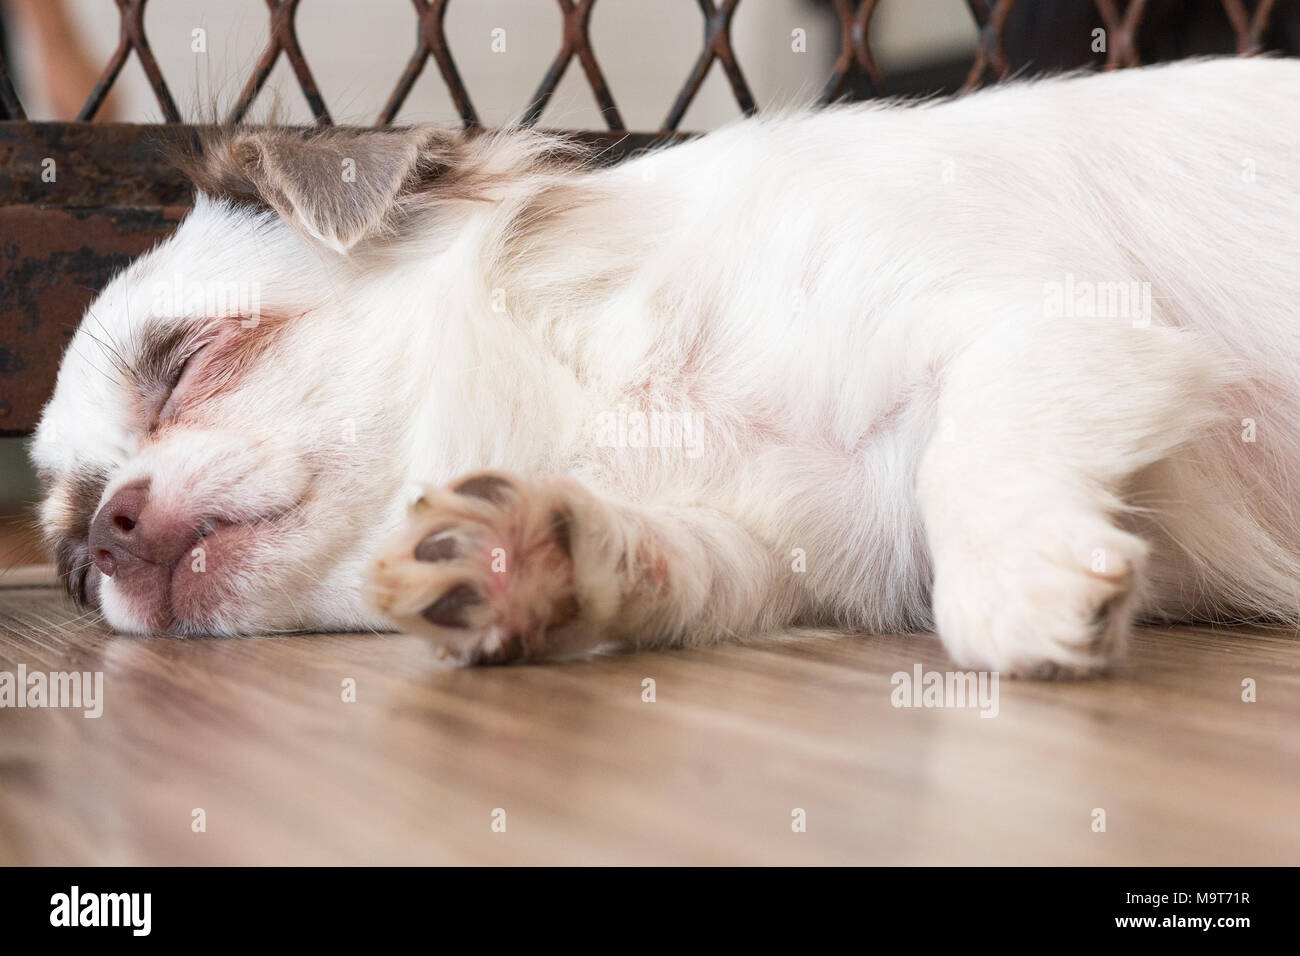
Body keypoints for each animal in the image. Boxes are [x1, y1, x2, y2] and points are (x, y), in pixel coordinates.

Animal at [27, 57, 1300, 671]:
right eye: (74, 563)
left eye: (186, 362)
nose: (111, 531)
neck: (614, 411)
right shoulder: (786, 553)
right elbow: (675, 563)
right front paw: (535, 557)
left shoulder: (1063, 320)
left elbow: (968, 445)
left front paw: (1018, 582)